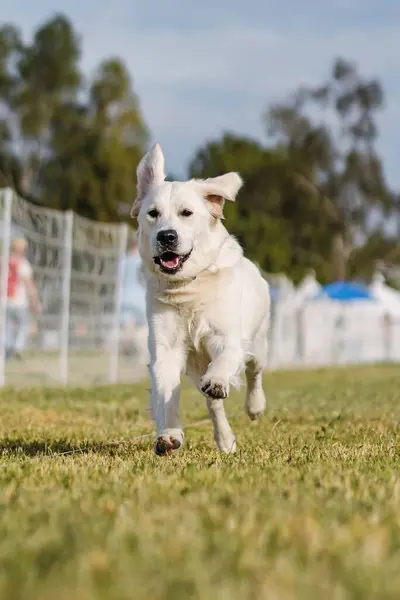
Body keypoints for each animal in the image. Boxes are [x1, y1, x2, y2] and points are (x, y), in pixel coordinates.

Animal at [130, 144, 268, 454]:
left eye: (187, 213)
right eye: (153, 213)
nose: (167, 236)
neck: (188, 290)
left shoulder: (227, 337)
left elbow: (225, 361)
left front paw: (217, 381)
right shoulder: (166, 348)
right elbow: (166, 394)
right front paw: (169, 435)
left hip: (257, 344)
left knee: (253, 371)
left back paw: (254, 407)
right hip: (196, 366)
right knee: (214, 406)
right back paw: (225, 440)